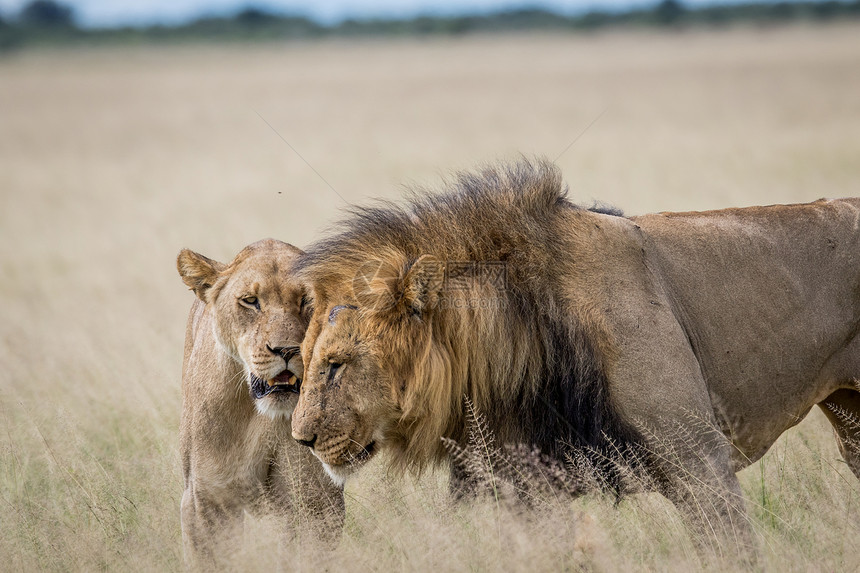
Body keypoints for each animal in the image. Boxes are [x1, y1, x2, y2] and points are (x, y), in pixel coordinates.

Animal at [176, 239, 344, 564]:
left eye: (307, 299)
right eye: (251, 301)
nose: (288, 350)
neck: (261, 417)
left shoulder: (316, 499)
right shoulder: (206, 499)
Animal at [290, 159, 860, 556]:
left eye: (336, 364)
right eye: (304, 359)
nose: (302, 439)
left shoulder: (699, 459)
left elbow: (731, 550)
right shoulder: (526, 489)